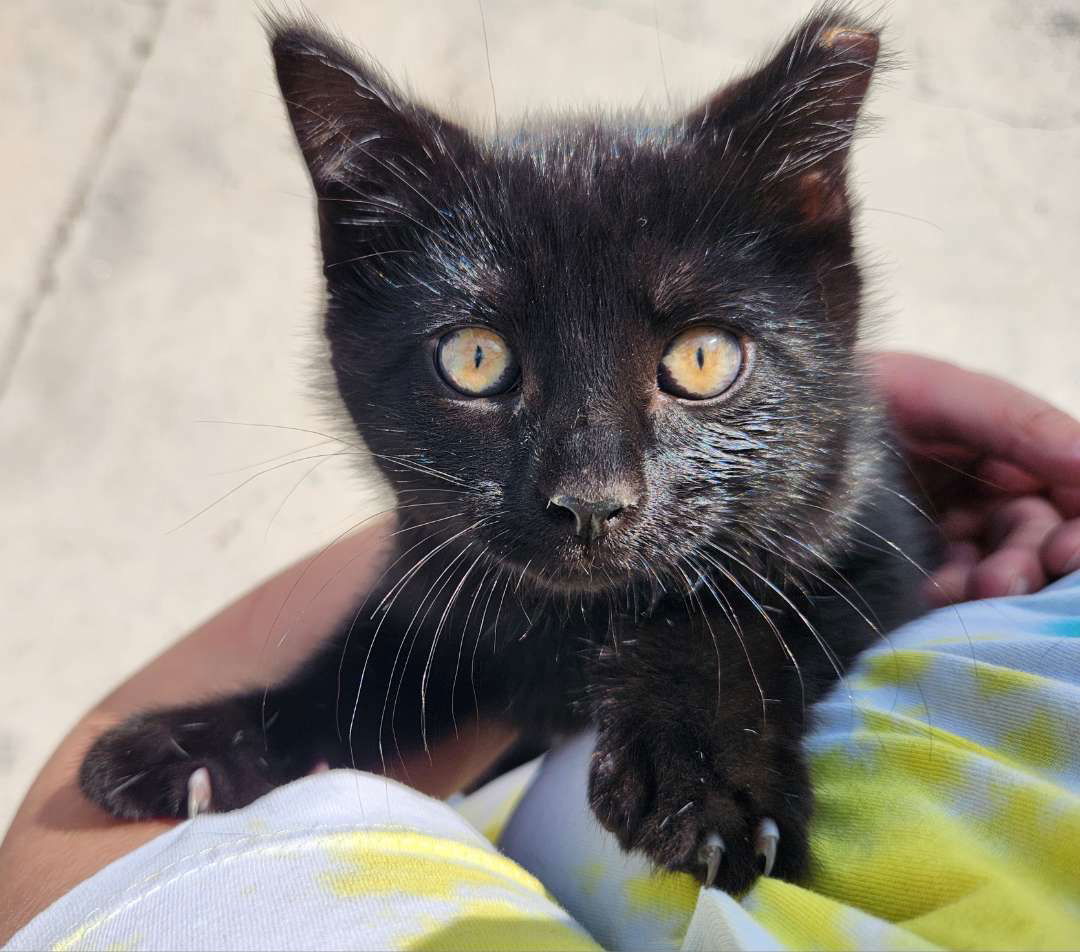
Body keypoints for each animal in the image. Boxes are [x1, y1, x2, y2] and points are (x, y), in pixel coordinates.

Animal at [82, 5, 937, 890]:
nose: (590, 500)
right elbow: (357, 670)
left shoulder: (867, 537)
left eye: (703, 358)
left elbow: (721, 618)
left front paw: (702, 783)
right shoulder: (434, 570)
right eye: (475, 358)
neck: (575, 623)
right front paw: (204, 741)